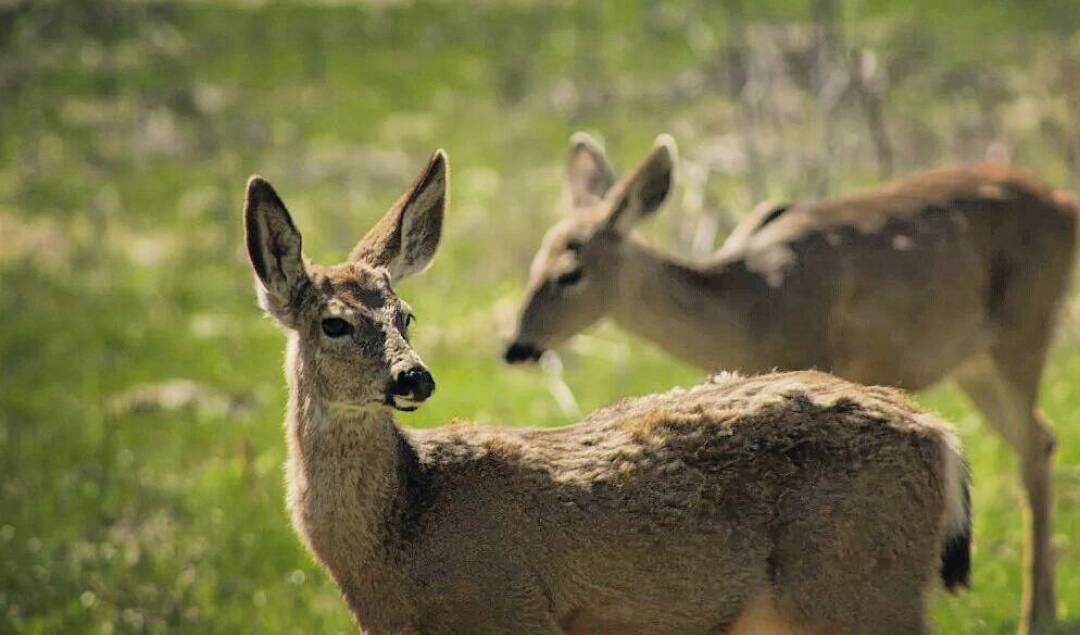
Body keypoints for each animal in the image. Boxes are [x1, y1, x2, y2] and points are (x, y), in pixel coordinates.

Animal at [248, 150, 976, 635]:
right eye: (334, 323)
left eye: (406, 316)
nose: (414, 377)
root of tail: (942, 437)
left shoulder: (513, 610)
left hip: (861, 584)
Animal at [505, 131, 1080, 630]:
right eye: (533, 262)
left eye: (570, 273)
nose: (517, 345)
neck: (749, 308)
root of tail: (1065, 202)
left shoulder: (817, 356)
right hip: (973, 364)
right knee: (1042, 437)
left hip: (1022, 330)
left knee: (1034, 445)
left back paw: (1037, 615)